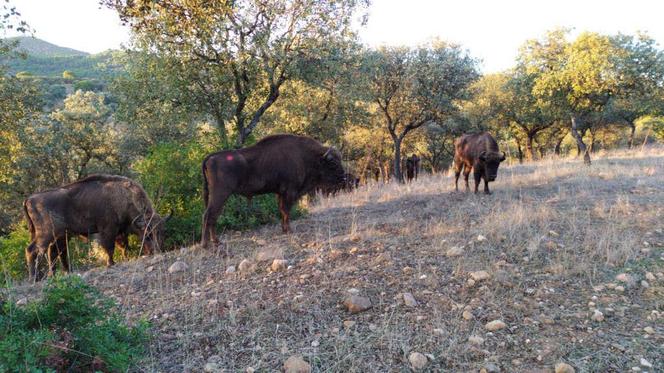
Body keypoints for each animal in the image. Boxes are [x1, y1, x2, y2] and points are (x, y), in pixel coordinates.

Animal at [23, 174, 170, 280]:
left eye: (163, 232)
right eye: (148, 234)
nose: (157, 251)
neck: (125, 197)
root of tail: (29, 199)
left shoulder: (120, 231)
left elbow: (124, 246)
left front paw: (125, 258)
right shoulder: (108, 230)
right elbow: (110, 248)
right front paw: (111, 263)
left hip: (61, 235)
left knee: (55, 252)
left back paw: (60, 273)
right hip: (45, 234)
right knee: (32, 250)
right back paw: (34, 278)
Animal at [201, 132, 348, 246]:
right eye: (333, 163)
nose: (344, 177)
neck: (306, 156)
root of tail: (210, 157)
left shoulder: (280, 193)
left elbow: (282, 211)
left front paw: (284, 229)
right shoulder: (290, 192)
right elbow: (286, 211)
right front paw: (289, 230)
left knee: (213, 216)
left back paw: (215, 242)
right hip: (220, 194)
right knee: (209, 215)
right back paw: (208, 244)